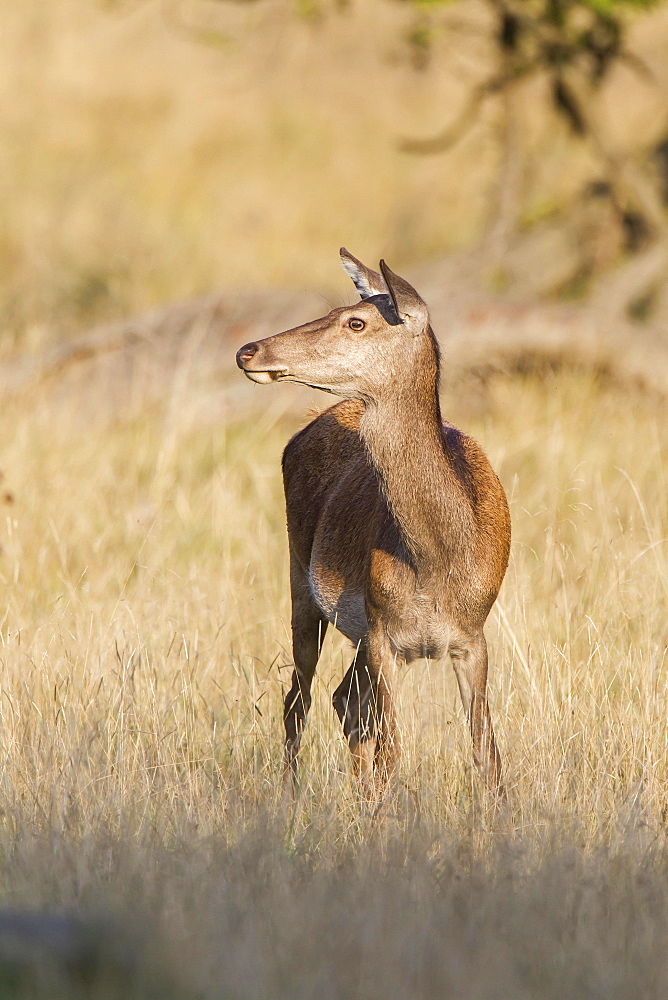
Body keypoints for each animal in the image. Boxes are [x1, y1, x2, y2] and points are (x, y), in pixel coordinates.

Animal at [236, 252, 512, 796]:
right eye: (336, 310)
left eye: (356, 321)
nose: (248, 350)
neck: (435, 562)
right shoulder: (385, 634)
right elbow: (391, 754)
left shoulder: (473, 636)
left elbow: (486, 755)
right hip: (302, 580)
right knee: (299, 699)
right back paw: (288, 795)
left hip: (356, 629)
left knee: (342, 700)